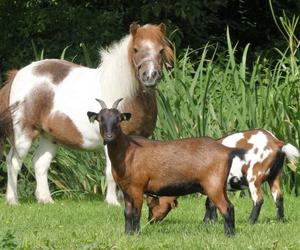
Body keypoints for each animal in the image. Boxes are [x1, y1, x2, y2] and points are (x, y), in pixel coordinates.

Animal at [0, 22, 173, 204]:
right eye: (136, 49)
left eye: (161, 49)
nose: (150, 76)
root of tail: (18, 74)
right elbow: (111, 172)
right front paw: (112, 202)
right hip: (24, 135)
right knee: (13, 162)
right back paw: (13, 200)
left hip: (49, 137)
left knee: (40, 164)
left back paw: (46, 200)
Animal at [87, 98, 246, 236]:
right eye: (100, 119)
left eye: (119, 119)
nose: (109, 137)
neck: (128, 151)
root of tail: (226, 150)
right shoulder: (125, 189)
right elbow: (127, 213)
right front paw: (127, 234)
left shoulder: (138, 187)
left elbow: (136, 213)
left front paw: (136, 234)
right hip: (220, 185)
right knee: (229, 207)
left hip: (213, 185)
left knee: (226, 207)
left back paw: (230, 235)